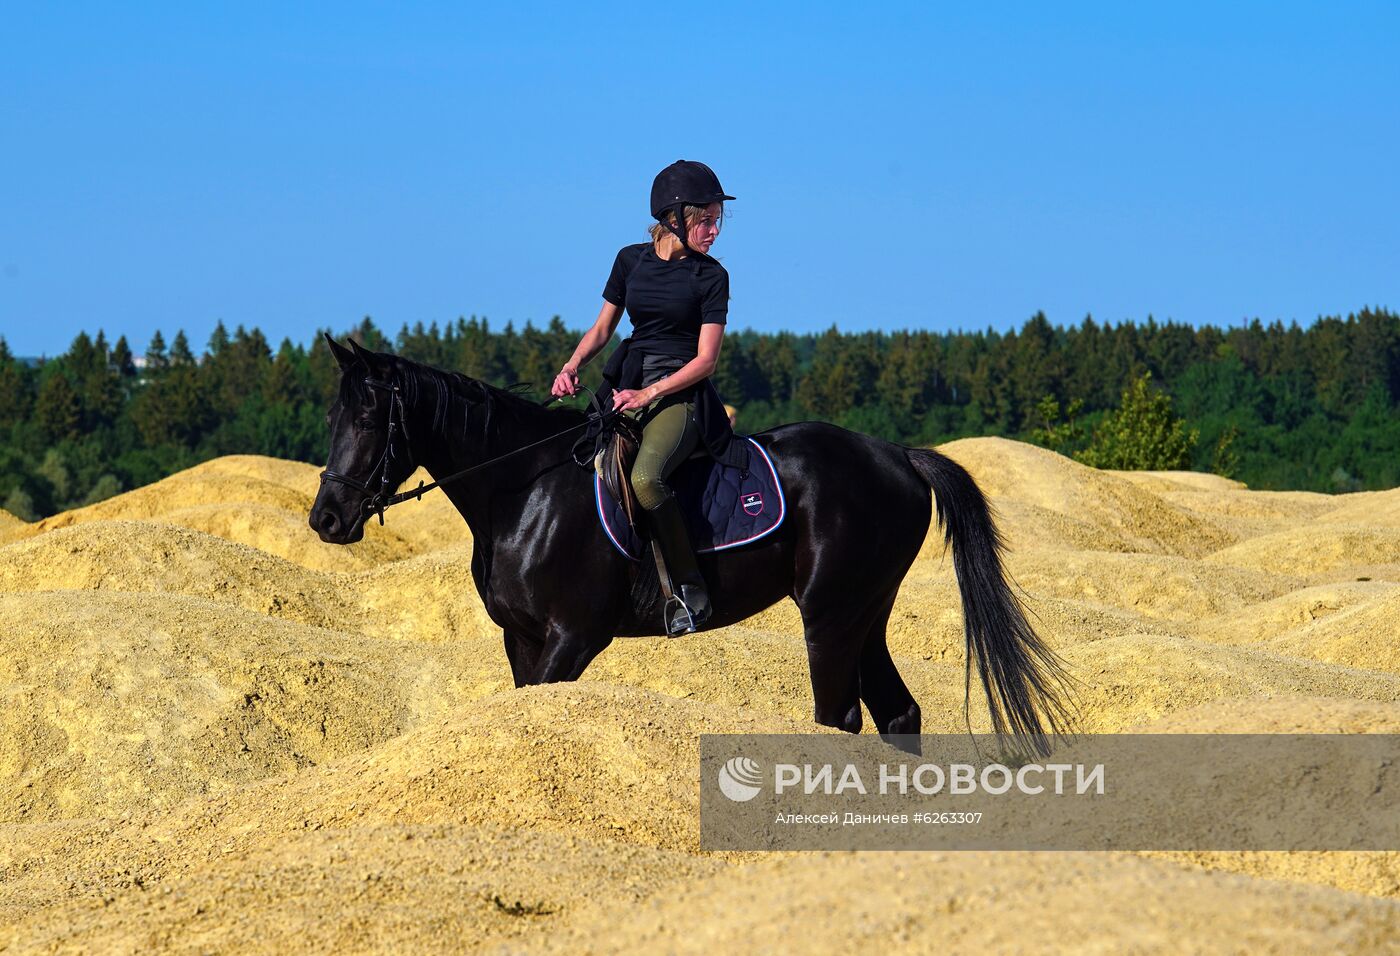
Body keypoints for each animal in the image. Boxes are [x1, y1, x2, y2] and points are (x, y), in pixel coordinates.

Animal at [309, 340, 1069, 750]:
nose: (327, 519)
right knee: (899, 713)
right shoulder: (520, 640)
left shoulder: (573, 638)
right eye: (332, 414)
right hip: (866, 611)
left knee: (841, 716)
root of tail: (898, 456)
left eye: (370, 418)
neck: (523, 491)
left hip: (829, 613)